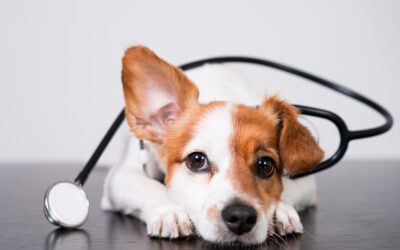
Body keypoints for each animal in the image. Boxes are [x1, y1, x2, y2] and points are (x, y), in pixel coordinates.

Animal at [101, 46, 324, 245]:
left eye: (265, 165)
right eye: (196, 160)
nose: (241, 216)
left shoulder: (306, 182)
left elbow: (288, 188)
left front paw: (280, 210)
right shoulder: (121, 176)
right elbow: (149, 186)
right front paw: (169, 210)